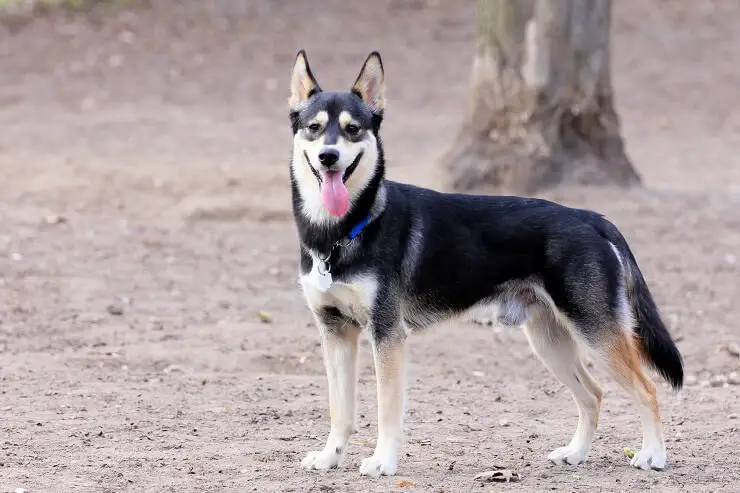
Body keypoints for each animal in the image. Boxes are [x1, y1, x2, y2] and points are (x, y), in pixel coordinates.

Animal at [288, 50, 684, 476]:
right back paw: (576, 453)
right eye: (314, 128)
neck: (342, 231)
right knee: (593, 394)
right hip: (550, 341)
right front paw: (329, 456)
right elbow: (340, 410)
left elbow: (387, 410)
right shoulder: (335, 332)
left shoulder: (387, 335)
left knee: (647, 388)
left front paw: (383, 461)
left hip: (597, 334)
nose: (329, 157)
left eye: (353, 129)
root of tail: (590, 217)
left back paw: (653, 455)